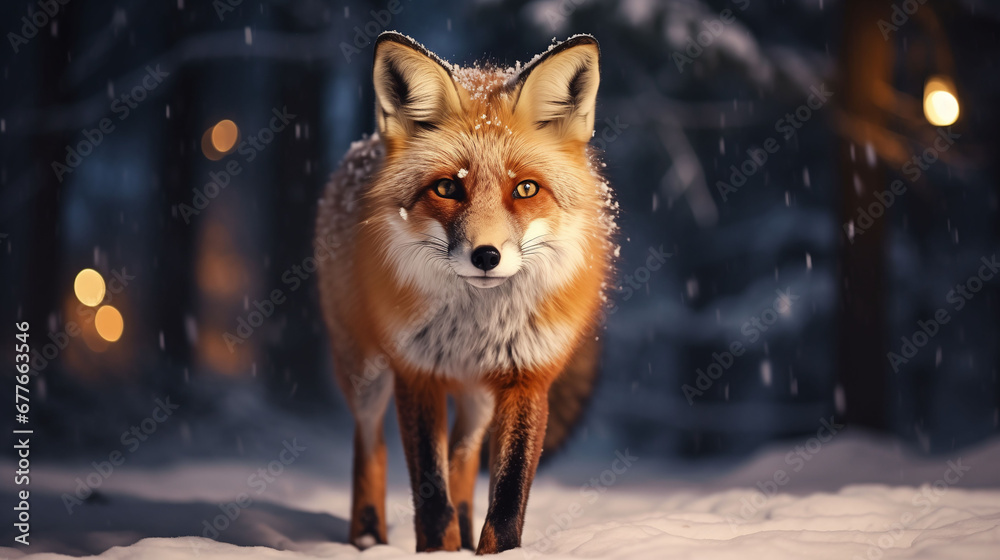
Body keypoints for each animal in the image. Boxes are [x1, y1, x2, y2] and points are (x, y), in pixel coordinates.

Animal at [315, 32, 617, 554]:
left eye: (526, 189)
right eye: (446, 188)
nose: (486, 256)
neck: (476, 326)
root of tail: (362, 147)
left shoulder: (527, 378)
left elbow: (507, 494)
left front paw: (493, 552)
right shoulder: (417, 374)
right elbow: (431, 494)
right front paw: (437, 551)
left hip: (478, 400)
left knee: (463, 454)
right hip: (366, 372)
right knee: (369, 443)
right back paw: (369, 538)